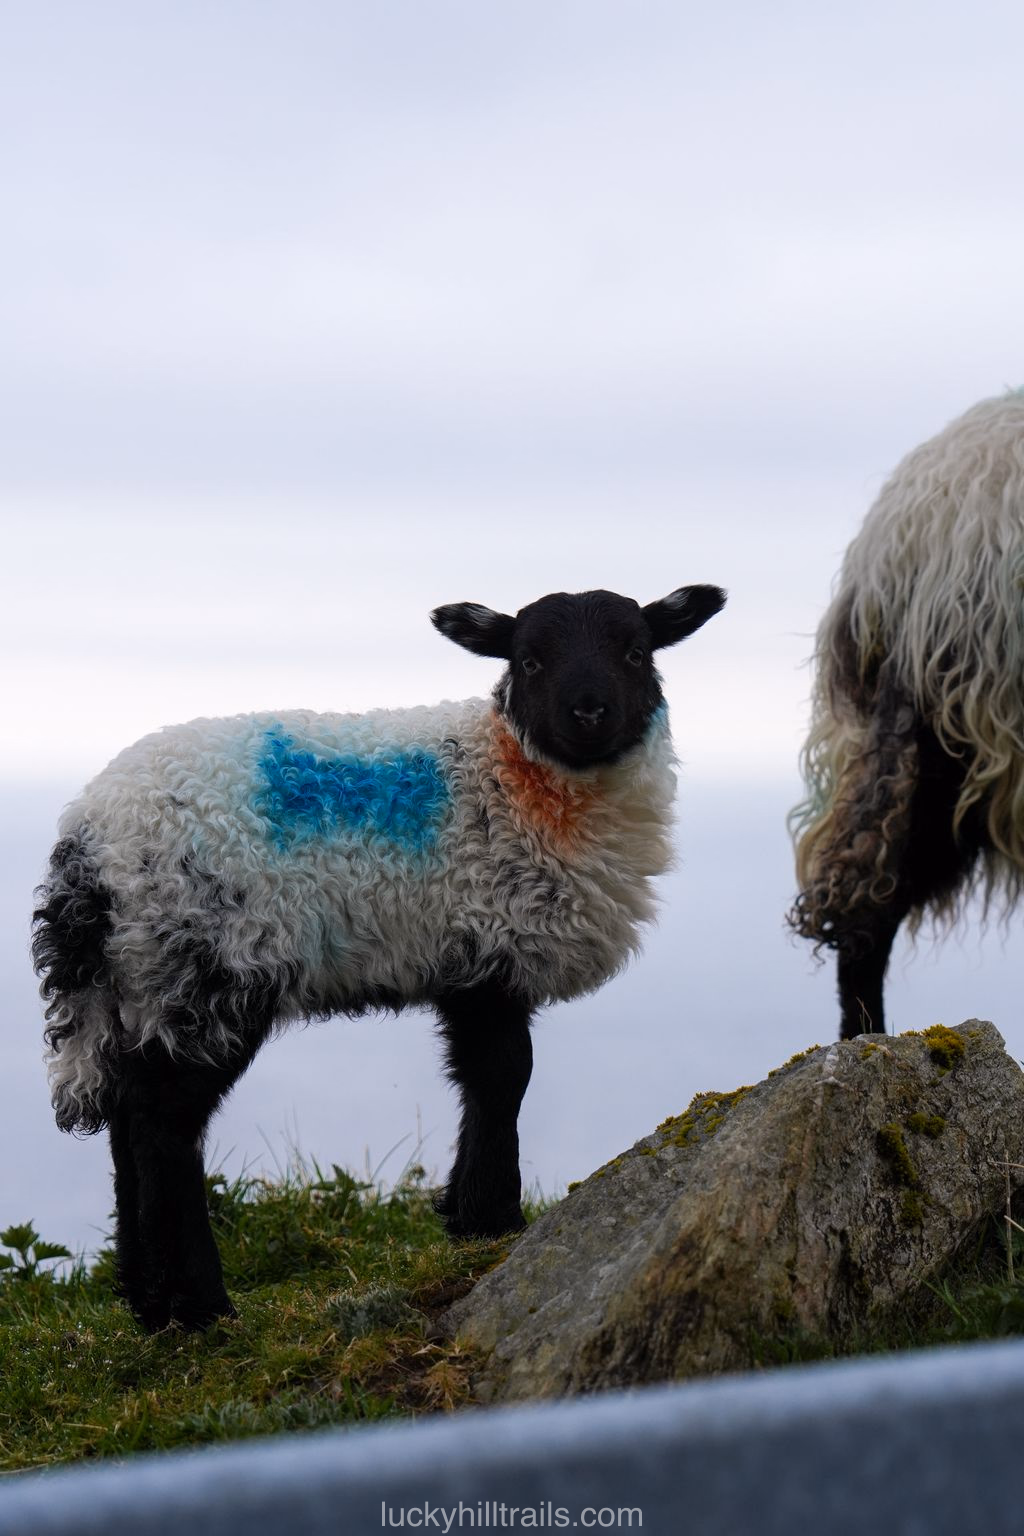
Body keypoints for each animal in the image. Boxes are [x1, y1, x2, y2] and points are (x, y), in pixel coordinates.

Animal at [33, 583, 726, 1330]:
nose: (590, 712)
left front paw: (466, 1214)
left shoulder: (468, 957)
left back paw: (146, 1299)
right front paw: (494, 1218)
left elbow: (482, 1078)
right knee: (162, 1126)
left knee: (127, 1116)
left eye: (636, 652)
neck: (516, 778)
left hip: (139, 982)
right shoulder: (490, 941)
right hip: (208, 965)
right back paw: (200, 1307)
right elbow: (504, 1074)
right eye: (530, 660)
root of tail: (89, 840)